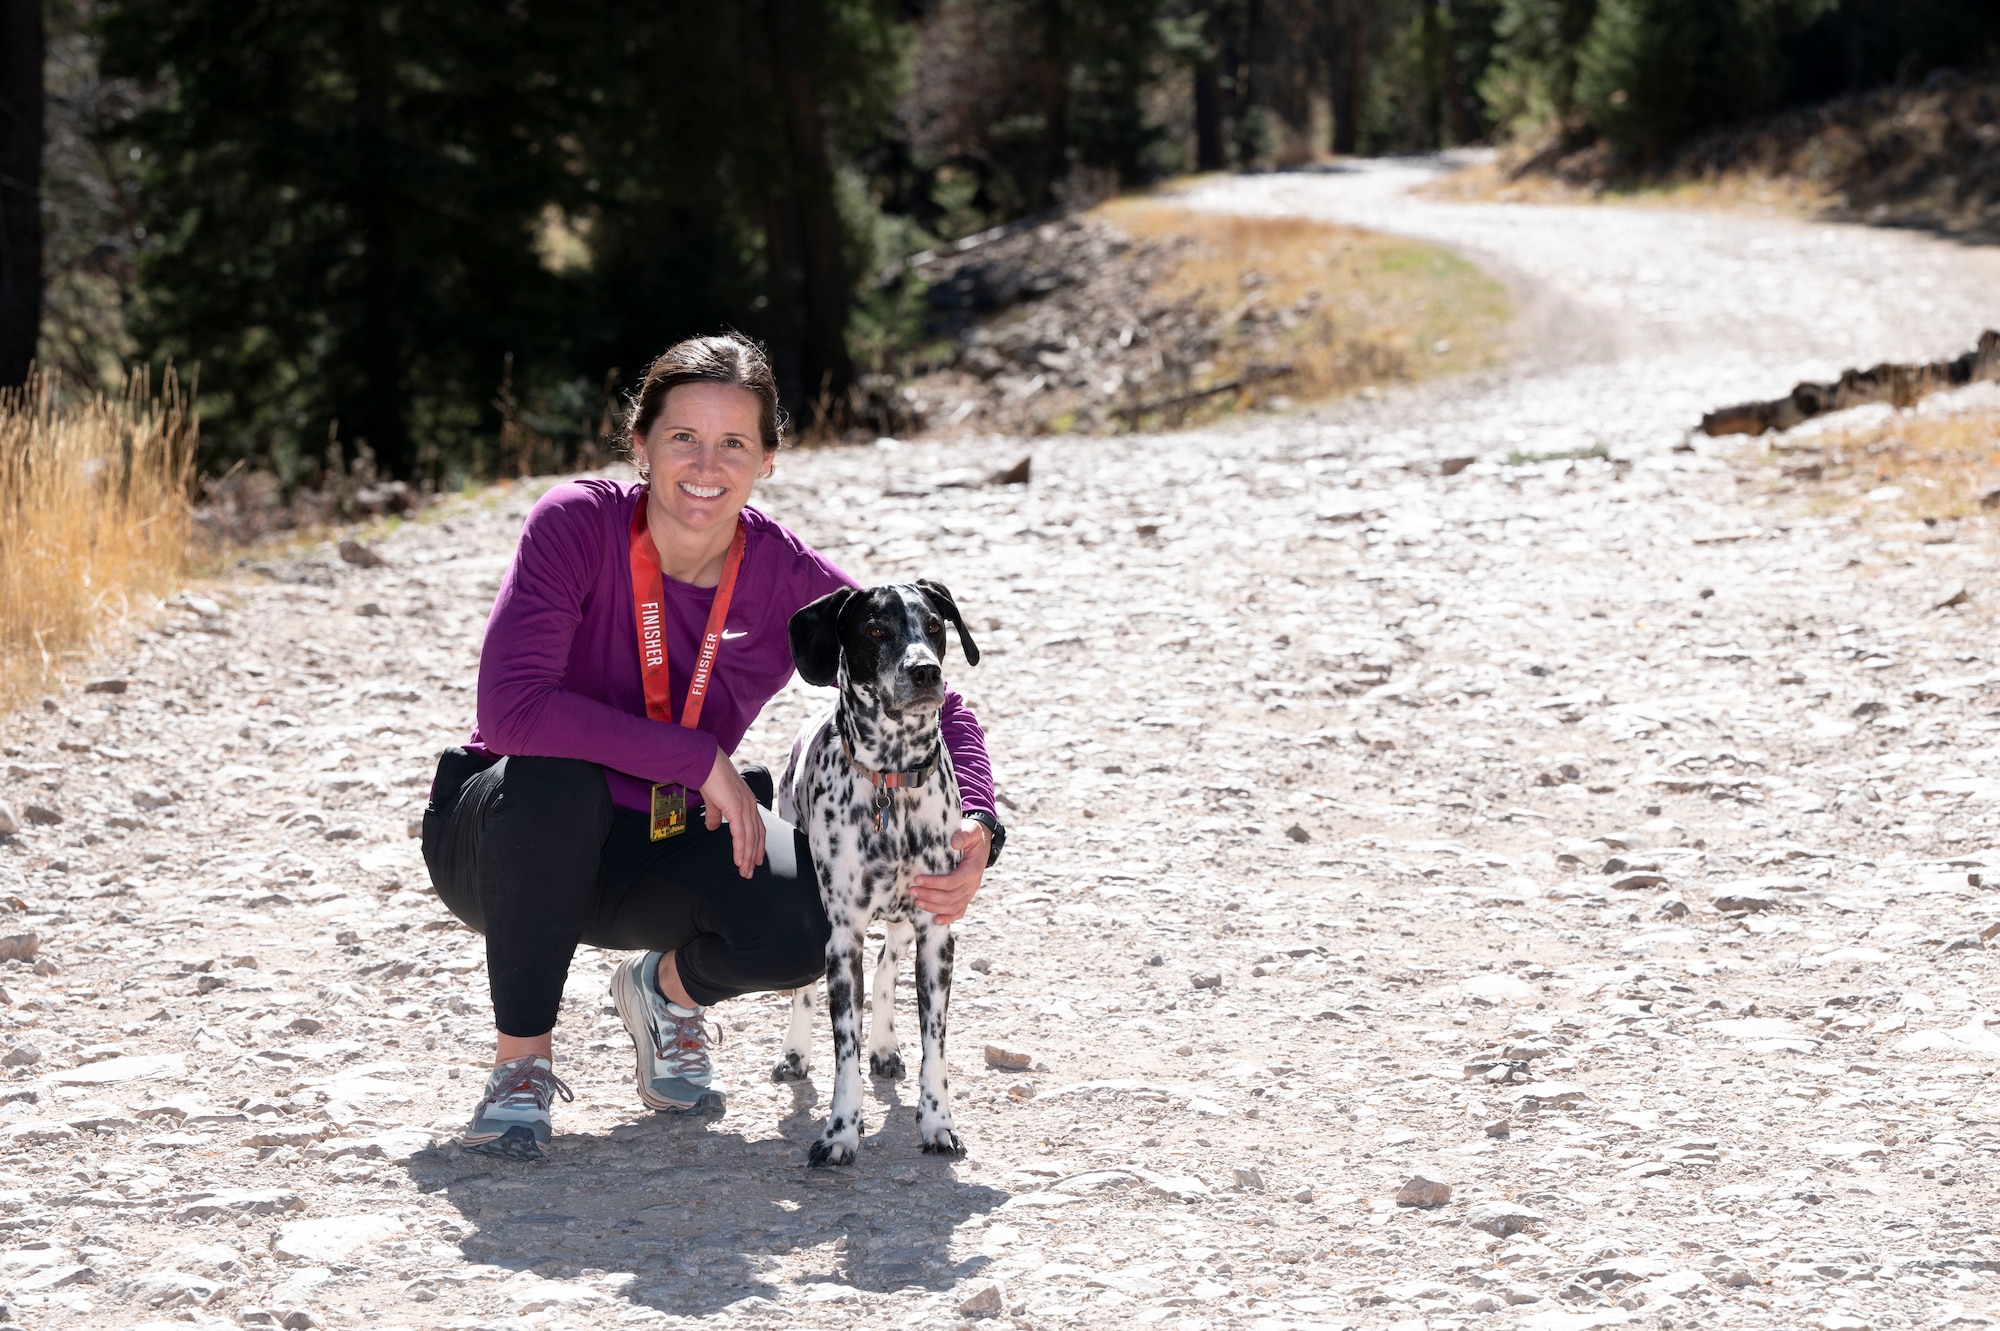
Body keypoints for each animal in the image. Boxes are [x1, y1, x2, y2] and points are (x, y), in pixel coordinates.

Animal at [772, 579, 976, 1159]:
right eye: (876, 629)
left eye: (934, 624)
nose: (925, 671)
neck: (893, 781)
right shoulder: (843, 939)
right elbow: (846, 1050)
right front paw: (841, 1130)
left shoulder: (937, 933)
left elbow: (935, 1044)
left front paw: (937, 1122)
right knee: (804, 990)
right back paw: (795, 1052)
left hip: (907, 924)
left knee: (888, 966)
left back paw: (885, 1045)